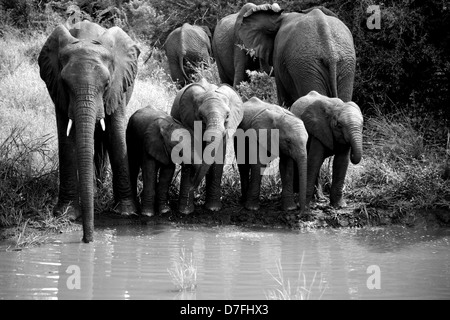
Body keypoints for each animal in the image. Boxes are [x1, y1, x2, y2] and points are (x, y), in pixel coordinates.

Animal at [39, 20, 141, 242]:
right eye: (65, 83)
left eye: (107, 83)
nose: (87, 240)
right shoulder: (58, 90)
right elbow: (66, 139)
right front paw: (66, 214)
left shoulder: (118, 86)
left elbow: (116, 135)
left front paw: (126, 212)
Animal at [171, 78, 244, 215]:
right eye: (201, 117)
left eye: (227, 116)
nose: (194, 187)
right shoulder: (188, 121)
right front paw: (185, 212)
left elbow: (218, 159)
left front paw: (213, 209)